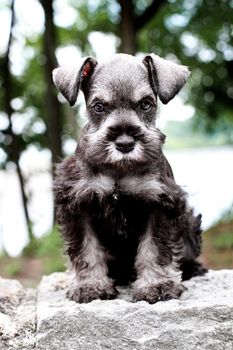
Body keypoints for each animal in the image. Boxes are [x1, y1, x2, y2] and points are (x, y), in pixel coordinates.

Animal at [52, 52, 206, 304]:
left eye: (146, 104)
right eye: (98, 106)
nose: (125, 143)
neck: (118, 170)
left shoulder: (161, 201)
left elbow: (156, 248)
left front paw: (156, 285)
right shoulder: (77, 203)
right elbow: (85, 250)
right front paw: (90, 285)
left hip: (191, 222)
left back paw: (194, 269)